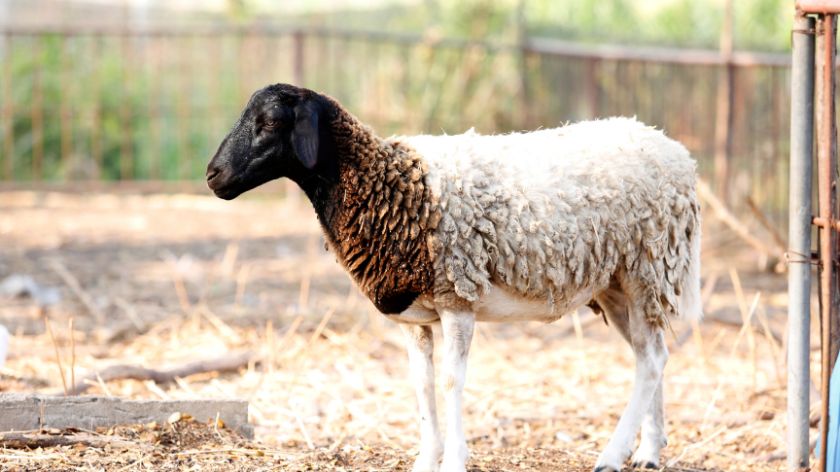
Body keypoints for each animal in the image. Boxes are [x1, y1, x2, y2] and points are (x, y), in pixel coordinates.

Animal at [205, 85, 704, 472]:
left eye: (270, 121)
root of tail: (675, 152)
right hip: (617, 286)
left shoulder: (457, 299)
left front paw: (455, 461)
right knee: (651, 355)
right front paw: (426, 460)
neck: (383, 184)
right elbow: (422, 385)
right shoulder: (413, 317)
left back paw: (612, 456)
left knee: (651, 362)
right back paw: (647, 453)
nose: (213, 175)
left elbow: (450, 382)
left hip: (649, 269)